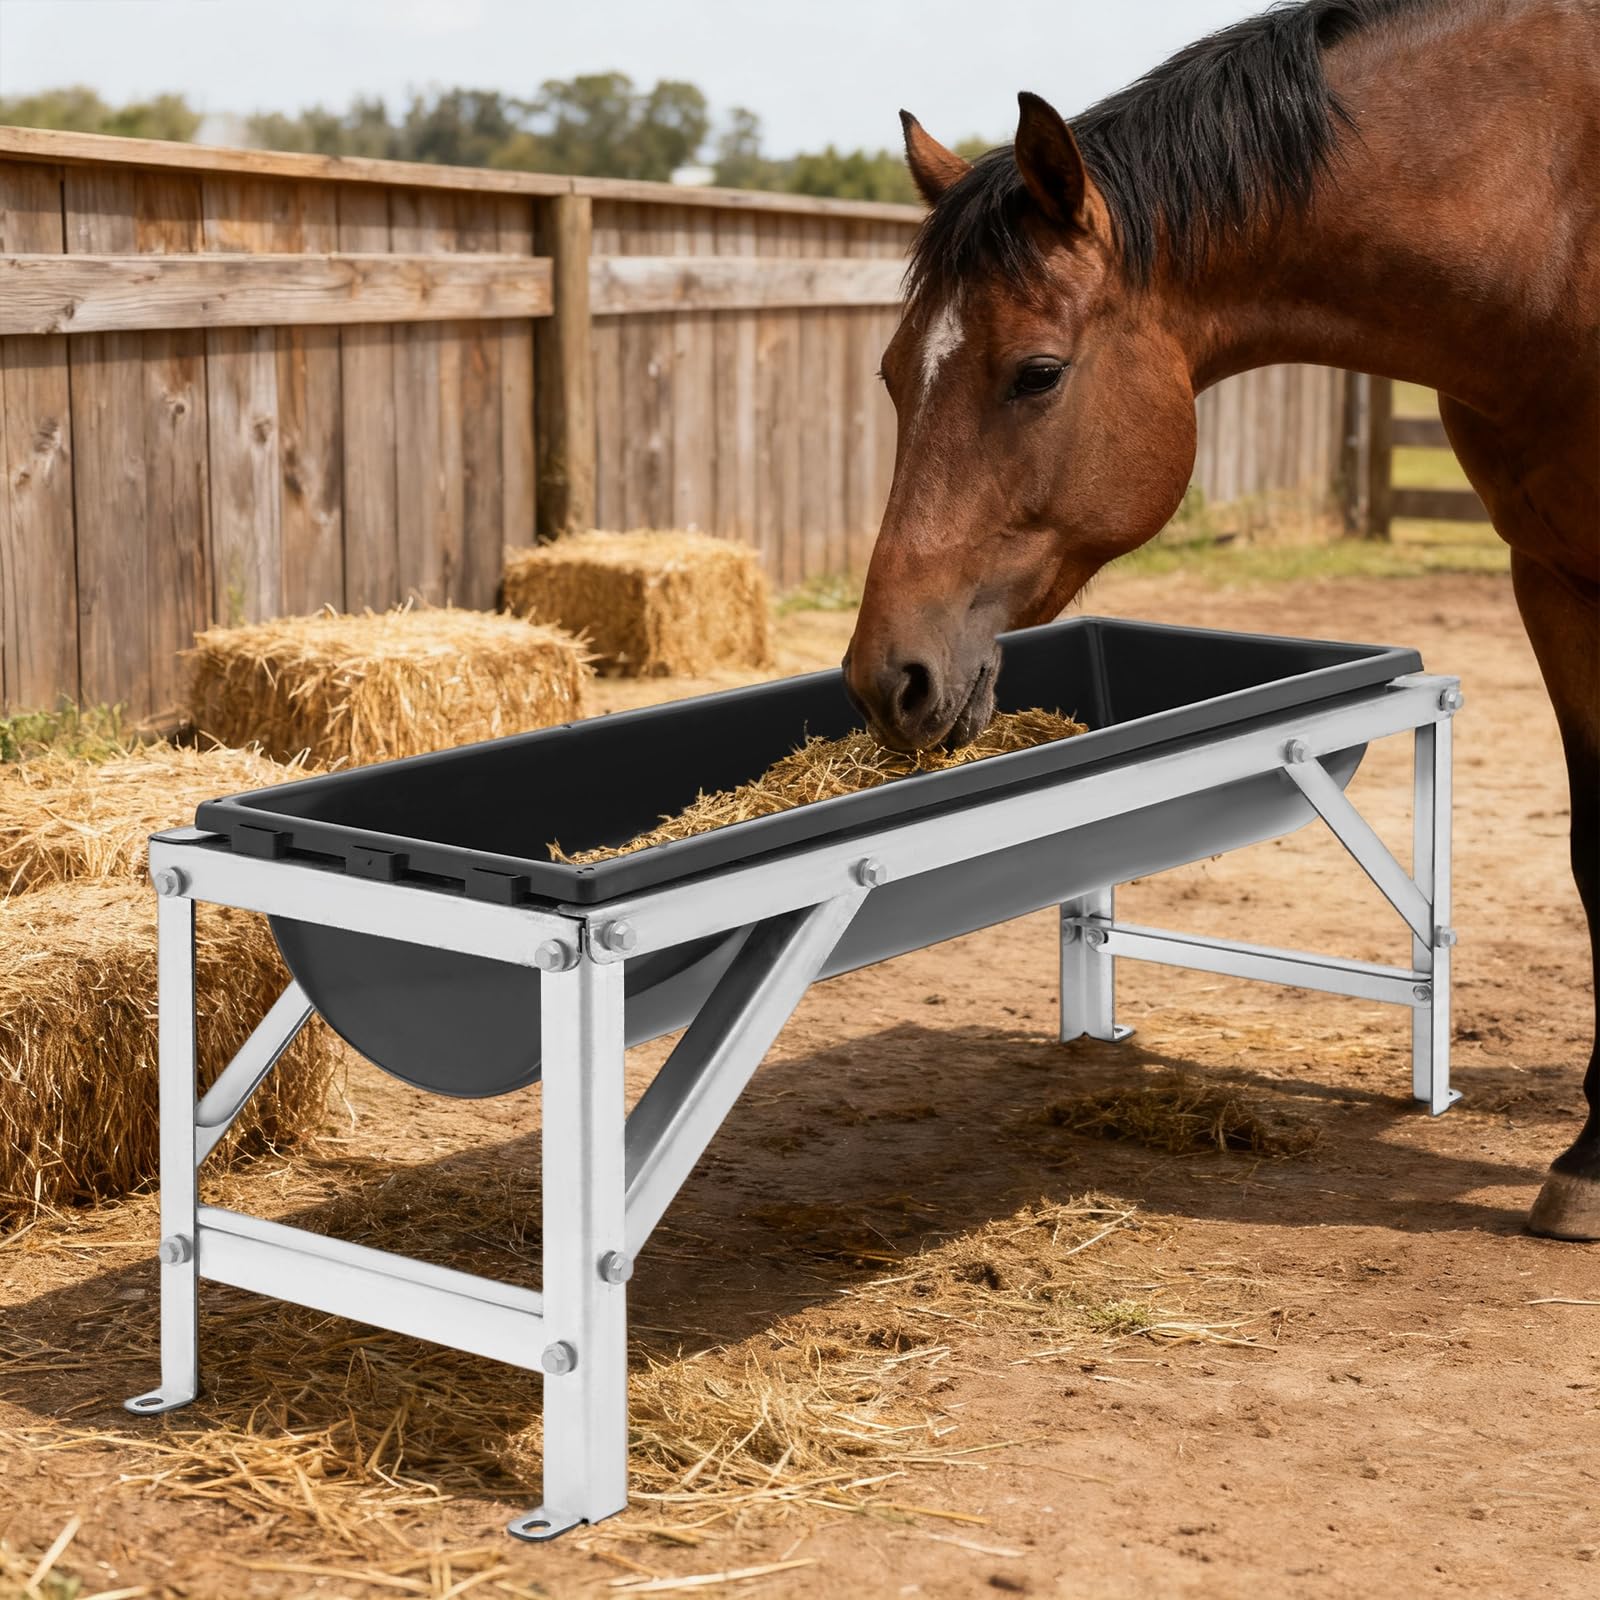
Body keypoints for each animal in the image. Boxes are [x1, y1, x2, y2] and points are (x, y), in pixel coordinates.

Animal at [843, 0, 1599, 1239]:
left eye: (1036, 372)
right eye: (895, 373)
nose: (887, 676)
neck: (1556, 212)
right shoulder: (1552, 573)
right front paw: (1590, 1153)